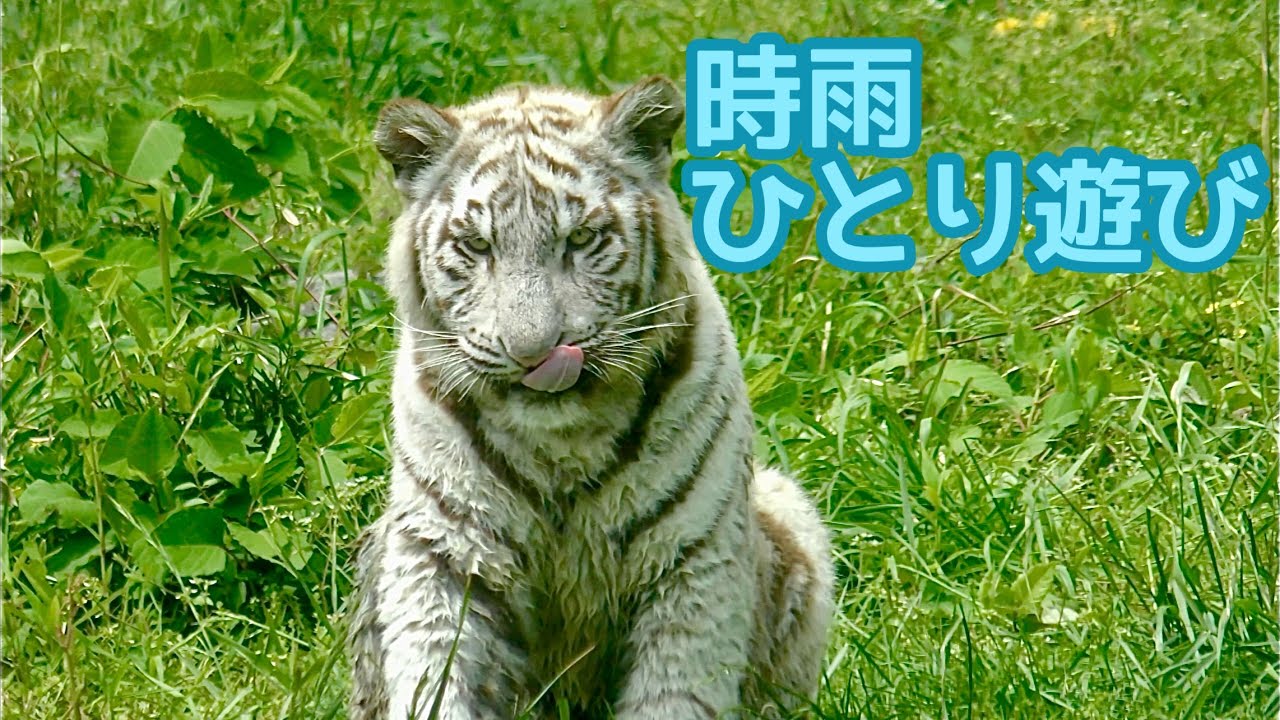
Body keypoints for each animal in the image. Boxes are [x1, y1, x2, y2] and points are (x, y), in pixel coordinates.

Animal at [346, 75, 835, 720]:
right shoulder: (443, 554)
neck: (561, 440)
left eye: (580, 239)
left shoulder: (692, 563)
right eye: (477, 246)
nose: (534, 352)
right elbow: (437, 682)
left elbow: (674, 694)